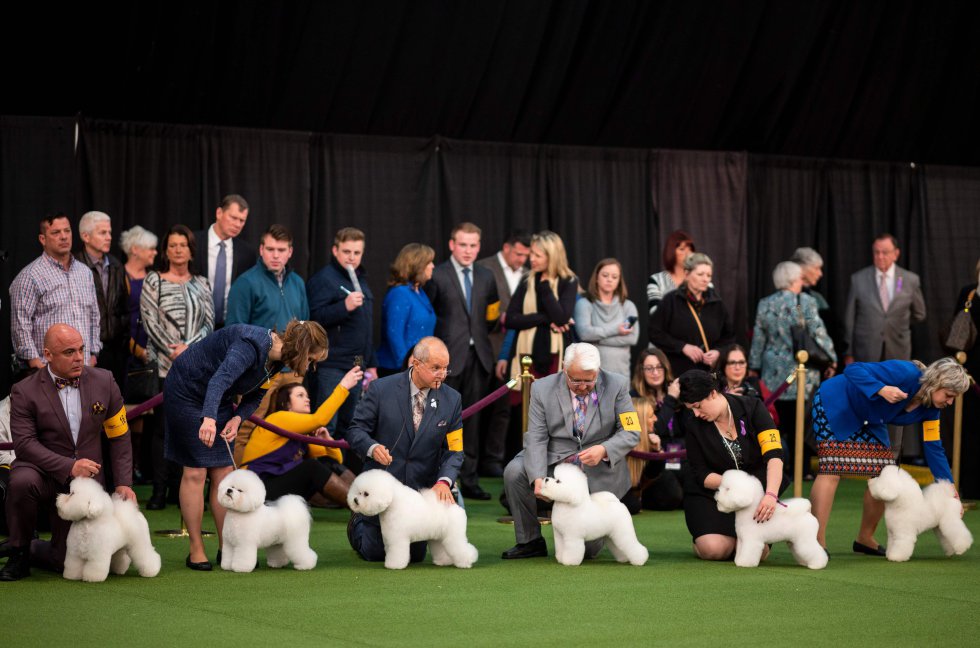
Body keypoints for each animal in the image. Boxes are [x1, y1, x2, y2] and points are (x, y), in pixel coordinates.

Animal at [348, 468, 478, 568]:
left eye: (366, 494)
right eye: (357, 492)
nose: (355, 500)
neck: (393, 504)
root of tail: (456, 507)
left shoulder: (398, 539)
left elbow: (397, 553)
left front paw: (394, 565)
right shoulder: (390, 538)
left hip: (454, 536)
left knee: (462, 548)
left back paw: (467, 562)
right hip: (439, 537)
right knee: (442, 549)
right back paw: (443, 562)